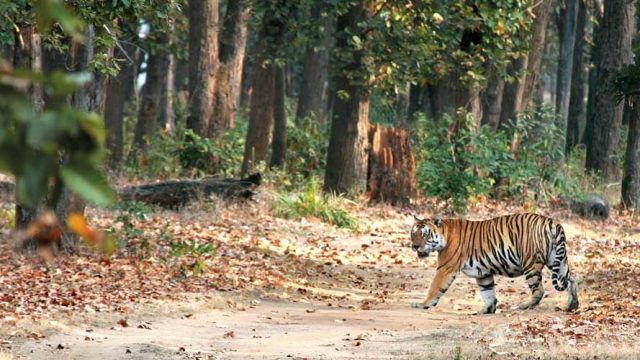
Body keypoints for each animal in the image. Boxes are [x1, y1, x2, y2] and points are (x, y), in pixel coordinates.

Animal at [410, 214, 580, 312]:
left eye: (424, 234)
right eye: (413, 234)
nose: (415, 246)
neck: (445, 233)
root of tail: (551, 222)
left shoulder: (445, 268)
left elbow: (434, 288)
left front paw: (423, 304)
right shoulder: (482, 273)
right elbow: (488, 292)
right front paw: (487, 309)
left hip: (530, 263)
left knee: (539, 290)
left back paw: (524, 306)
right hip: (557, 259)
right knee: (570, 279)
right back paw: (572, 305)